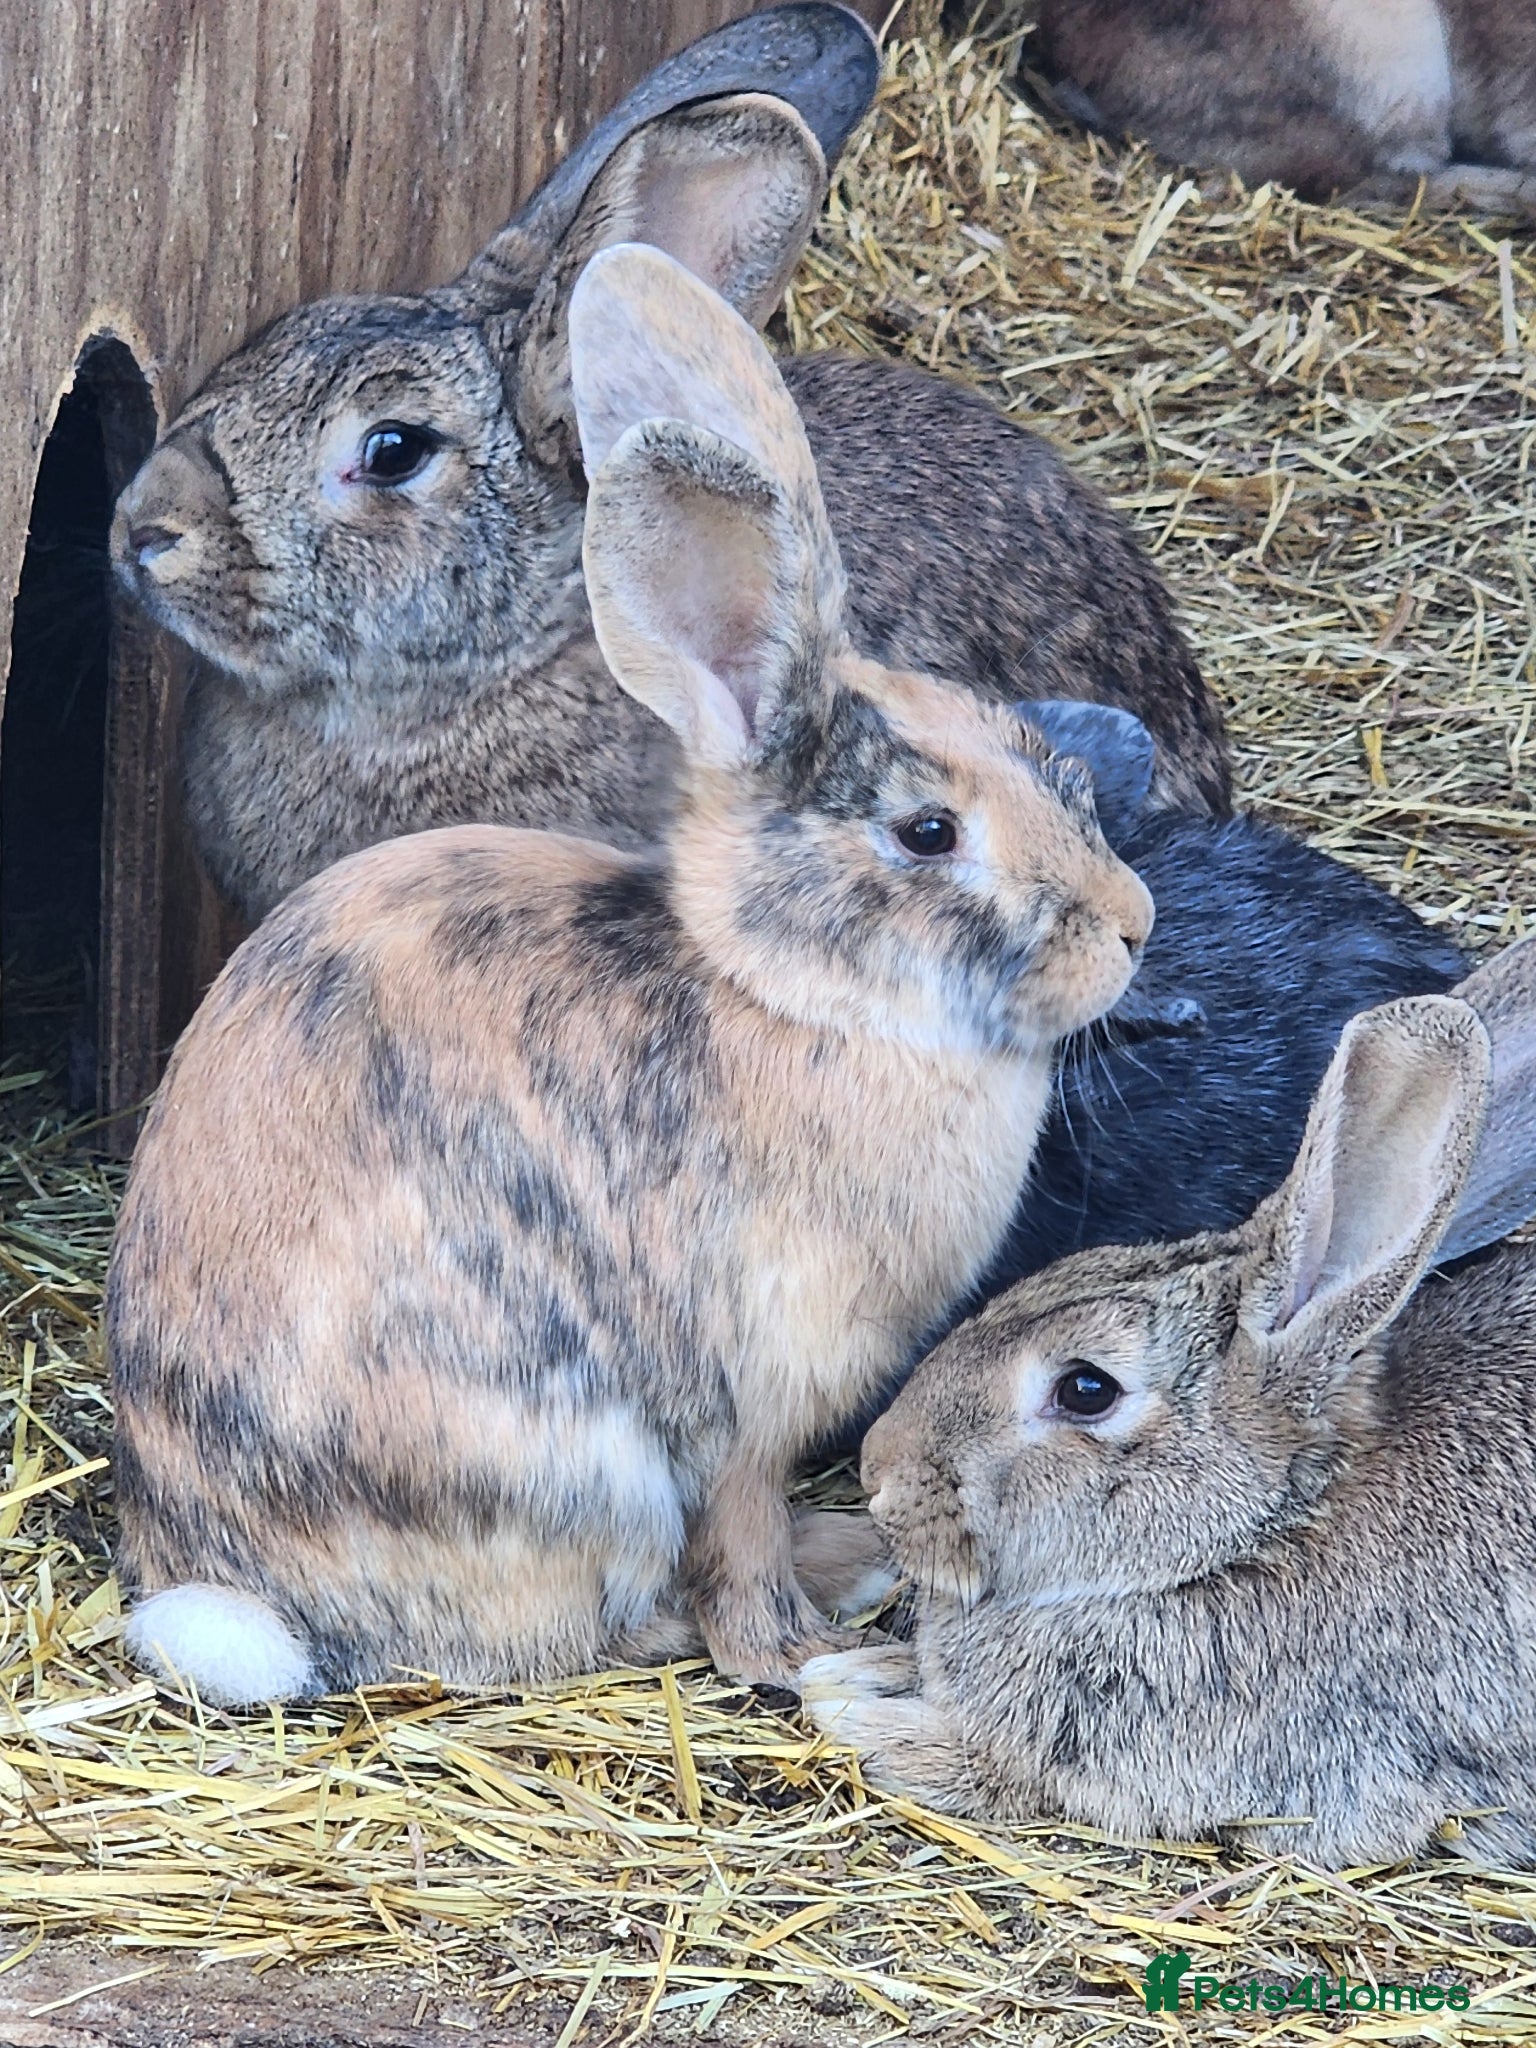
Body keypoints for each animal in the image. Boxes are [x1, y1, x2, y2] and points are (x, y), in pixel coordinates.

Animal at [107, 241, 1156, 1710]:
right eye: (927, 833)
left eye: (1041, 757)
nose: (1132, 926)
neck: (792, 992)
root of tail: (243, 1592)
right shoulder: (743, 1406)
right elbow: (742, 1548)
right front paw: (816, 1662)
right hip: (576, 1471)